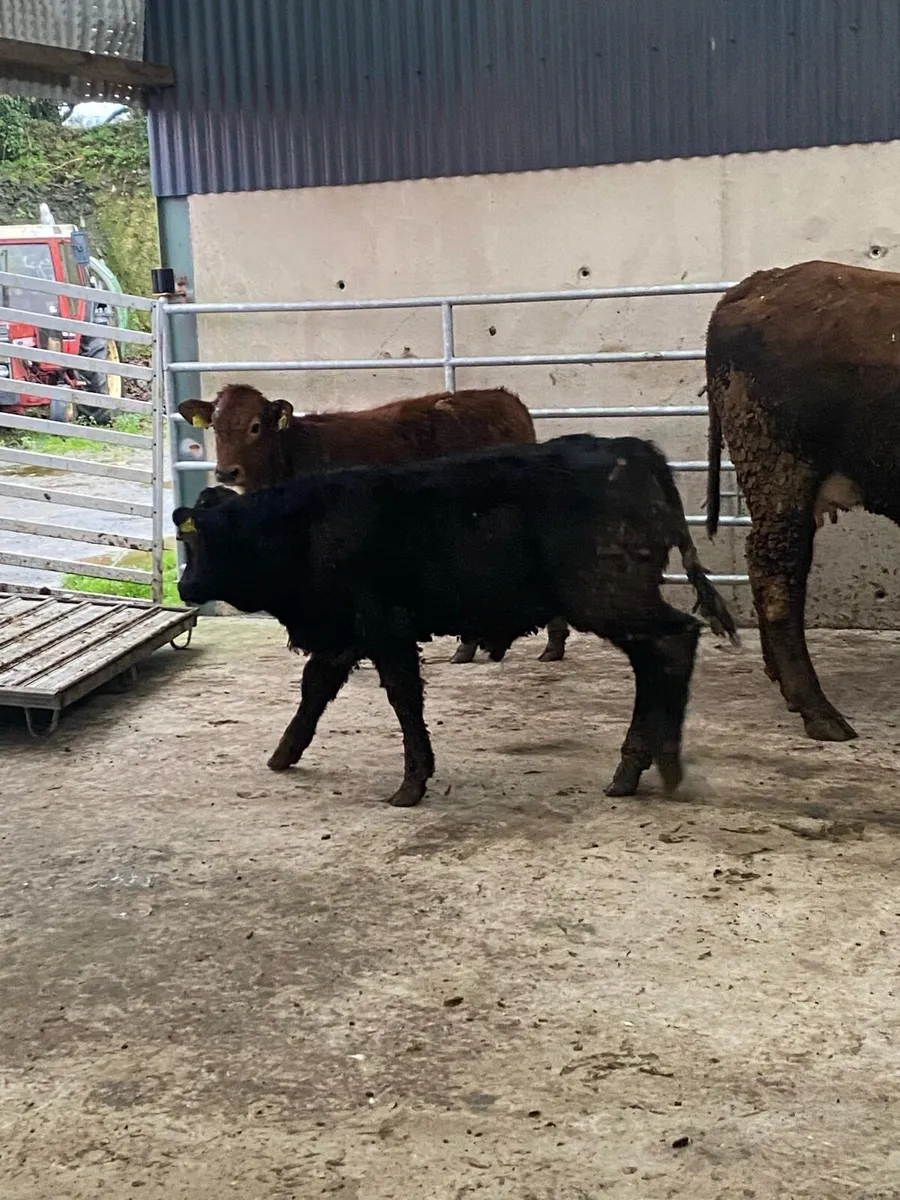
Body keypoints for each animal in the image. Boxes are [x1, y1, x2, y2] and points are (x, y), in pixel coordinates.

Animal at [174, 433, 738, 807]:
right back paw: (638, 768)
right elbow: (315, 688)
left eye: (196, 540)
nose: (184, 587)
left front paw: (411, 782)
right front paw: (284, 753)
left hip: (609, 599)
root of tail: (631, 447)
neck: (304, 526)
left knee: (673, 643)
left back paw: (660, 762)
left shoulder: (385, 630)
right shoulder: (345, 634)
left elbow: (403, 700)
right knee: (657, 658)